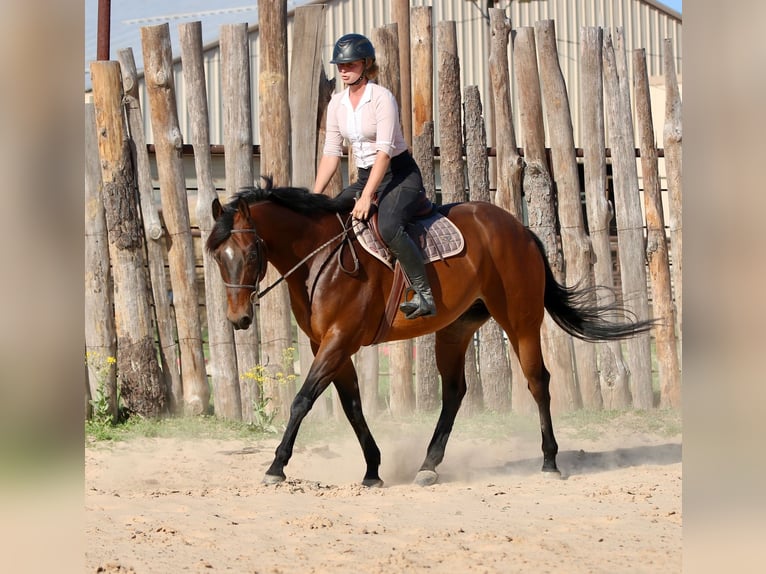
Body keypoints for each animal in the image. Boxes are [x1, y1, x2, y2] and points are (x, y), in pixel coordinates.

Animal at [206, 179, 653, 487]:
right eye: (217, 256)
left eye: (251, 253)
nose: (238, 319)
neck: (323, 258)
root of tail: (519, 228)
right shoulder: (331, 345)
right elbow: (352, 407)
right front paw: (373, 469)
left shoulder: (338, 341)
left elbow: (302, 401)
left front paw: (276, 466)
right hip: (455, 330)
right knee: (454, 392)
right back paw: (428, 466)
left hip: (521, 321)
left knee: (537, 382)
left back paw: (549, 461)